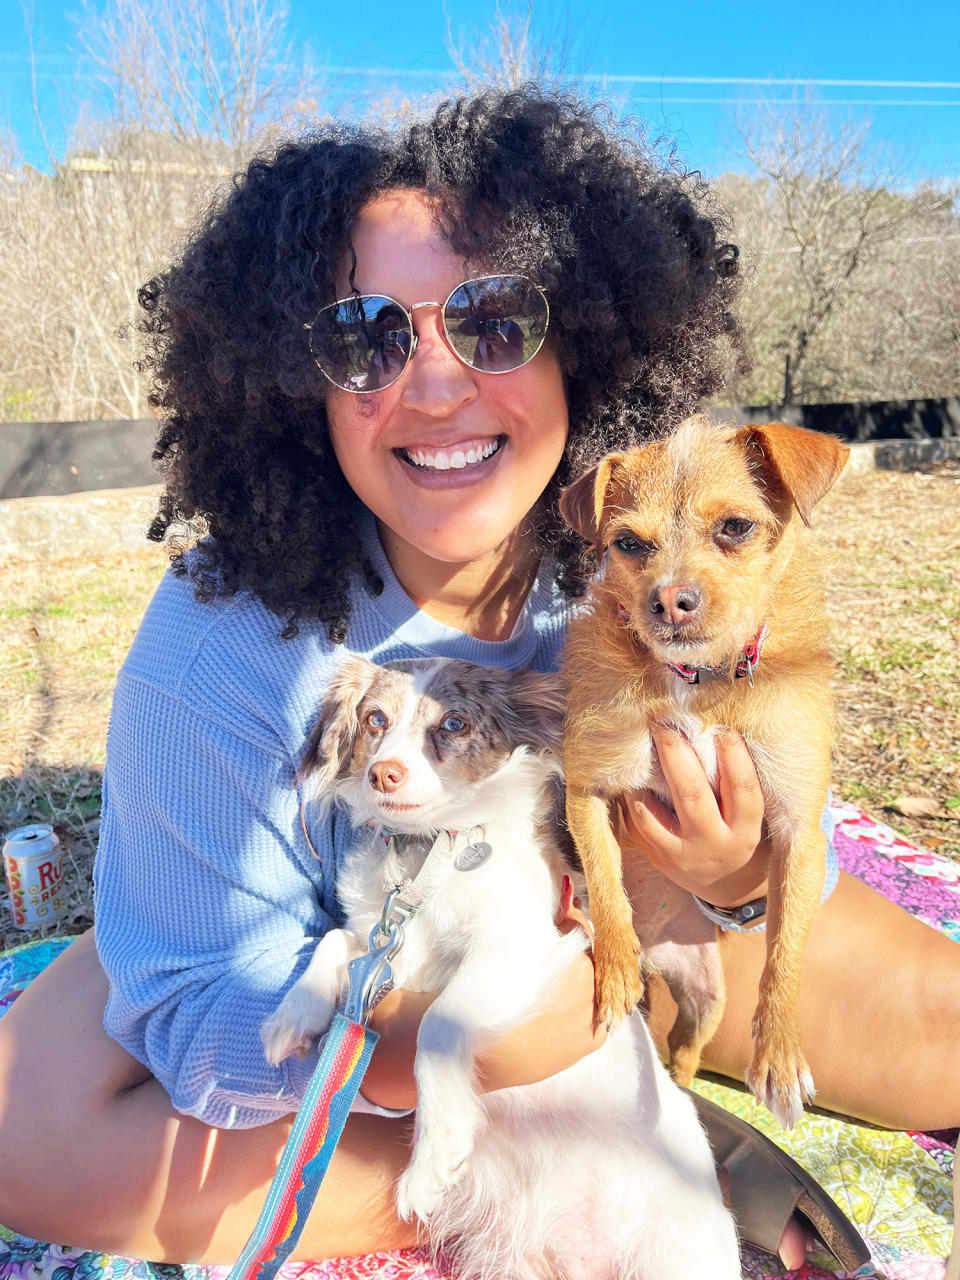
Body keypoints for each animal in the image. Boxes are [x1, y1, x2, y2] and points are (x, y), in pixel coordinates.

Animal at [563, 414, 849, 1126]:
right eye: (628, 543)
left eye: (736, 527)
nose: (669, 600)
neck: (702, 680)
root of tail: (665, 960)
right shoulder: (589, 784)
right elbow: (606, 885)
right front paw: (614, 971)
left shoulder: (799, 829)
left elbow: (786, 949)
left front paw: (779, 1054)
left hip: (707, 1002)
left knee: (685, 1053)